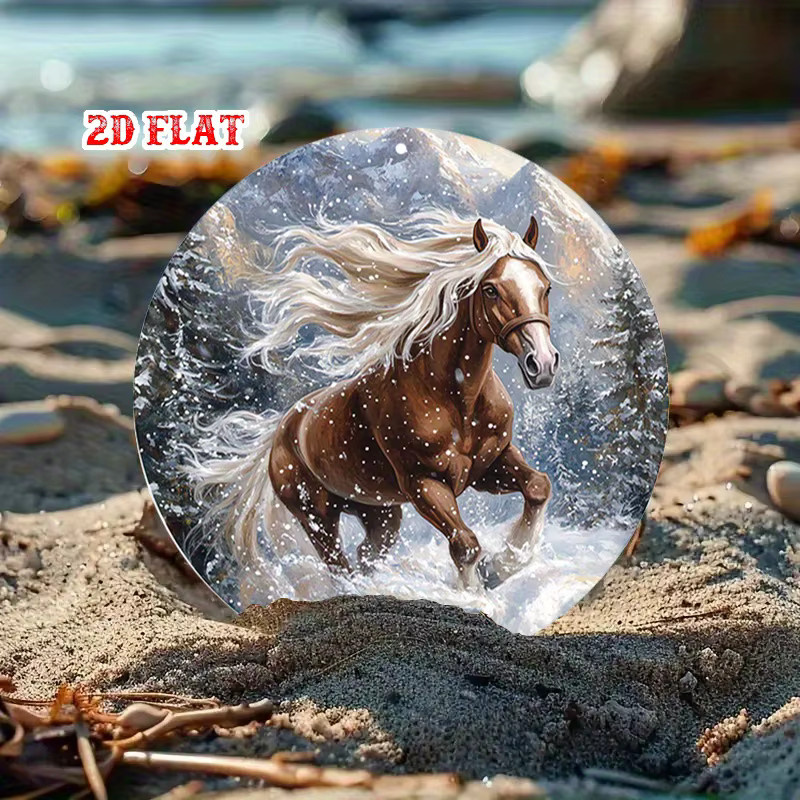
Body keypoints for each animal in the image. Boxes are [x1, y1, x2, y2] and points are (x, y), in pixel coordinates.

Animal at [191, 210, 560, 593]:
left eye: (545, 287)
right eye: (491, 289)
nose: (543, 364)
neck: (455, 401)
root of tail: (281, 430)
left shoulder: (489, 465)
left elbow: (538, 487)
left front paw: (502, 566)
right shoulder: (424, 484)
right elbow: (465, 544)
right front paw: (477, 592)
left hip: (379, 512)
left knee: (367, 553)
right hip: (317, 516)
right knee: (338, 564)